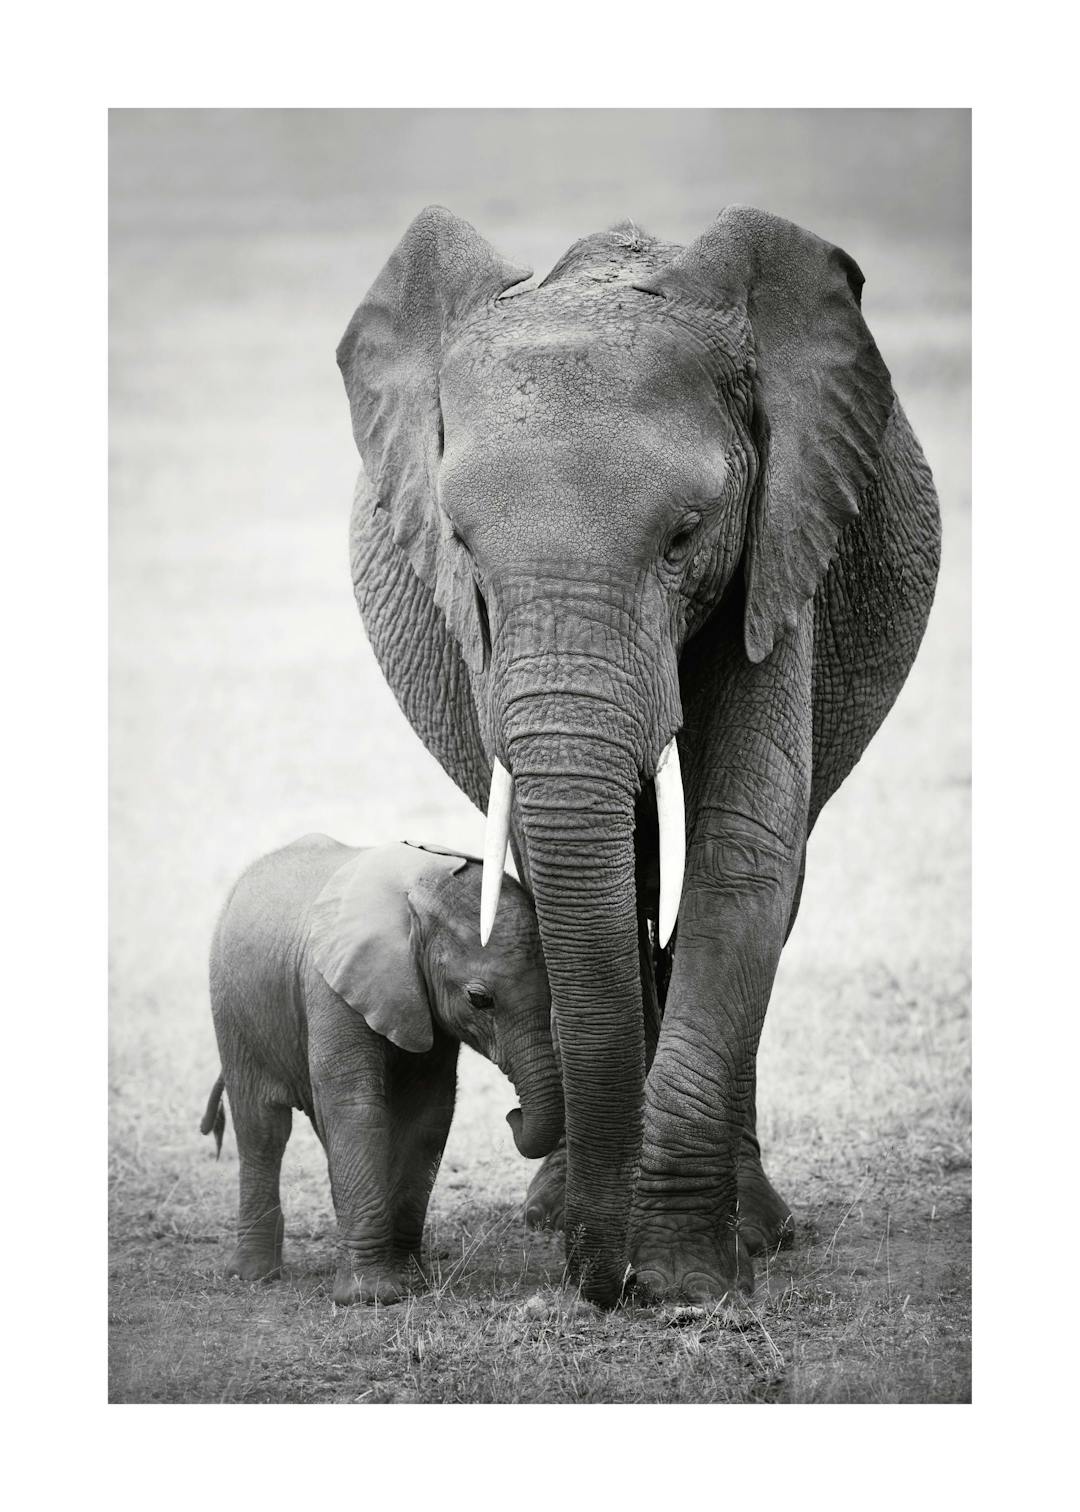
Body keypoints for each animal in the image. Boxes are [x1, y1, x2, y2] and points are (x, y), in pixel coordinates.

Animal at [201, 836, 563, 1304]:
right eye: (479, 1000)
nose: (513, 1115)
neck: (418, 895)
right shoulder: (332, 987)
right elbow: (357, 1109)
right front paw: (369, 1297)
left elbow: (428, 1115)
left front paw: (411, 1282)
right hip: (233, 1012)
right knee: (262, 1128)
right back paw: (253, 1275)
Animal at [336, 205, 941, 1309]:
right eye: (460, 543)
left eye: (685, 536)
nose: (598, 1281)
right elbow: (581, 863)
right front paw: (622, 1249)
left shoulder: (781, 542)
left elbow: (743, 849)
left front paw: (685, 1279)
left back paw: (754, 1229)